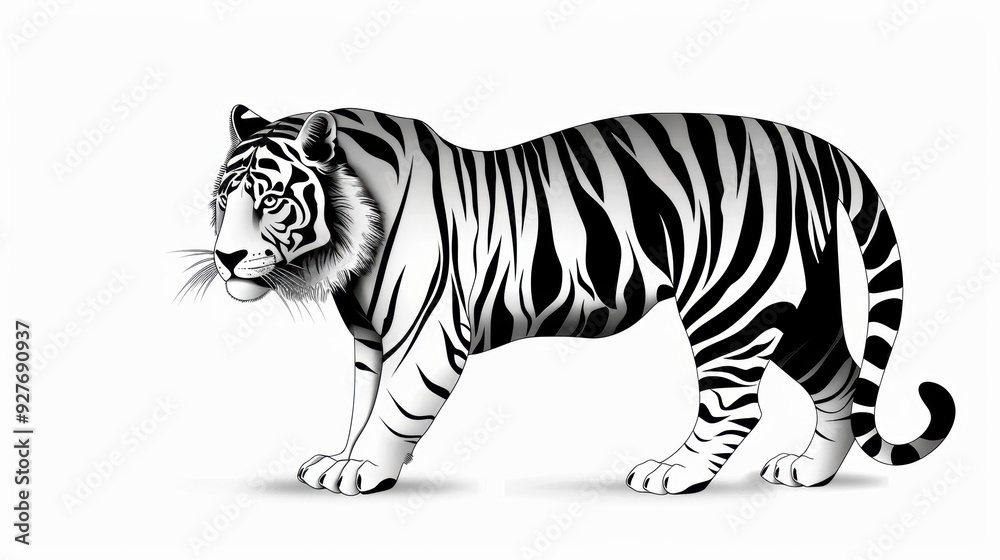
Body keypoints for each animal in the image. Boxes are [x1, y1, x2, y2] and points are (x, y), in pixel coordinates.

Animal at [179, 104, 955, 495]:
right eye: (221, 201)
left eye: (271, 201)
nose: (226, 257)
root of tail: (807, 142)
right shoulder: (370, 340)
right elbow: (361, 403)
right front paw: (338, 460)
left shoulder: (430, 335)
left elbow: (394, 409)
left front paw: (363, 471)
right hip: (799, 304)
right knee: (840, 377)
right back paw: (808, 472)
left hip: (733, 300)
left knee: (736, 404)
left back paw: (673, 474)